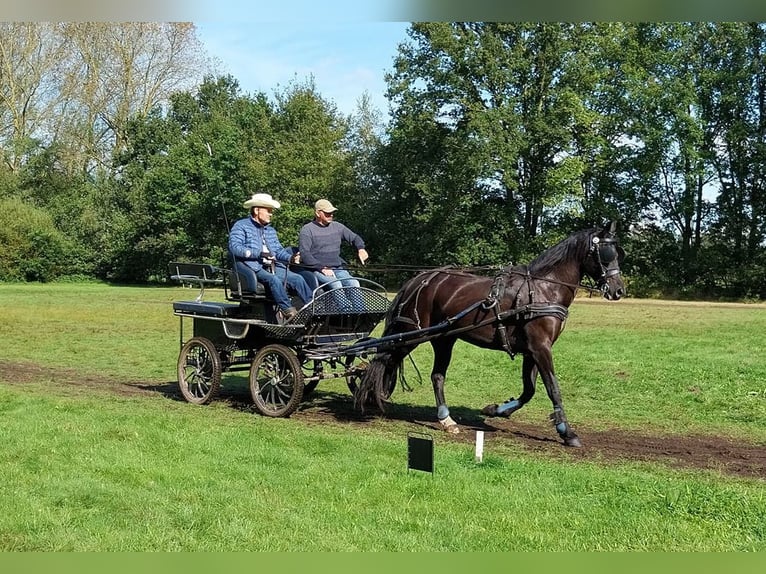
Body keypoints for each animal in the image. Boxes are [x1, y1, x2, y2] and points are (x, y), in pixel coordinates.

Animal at [356, 223, 628, 448]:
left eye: (618, 253)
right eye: (606, 254)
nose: (618, 290)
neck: (544, 288)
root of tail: (422, 279)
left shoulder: (531, 350)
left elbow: (529, 390)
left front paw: (497, 409)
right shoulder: (541, 348)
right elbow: (553, 388)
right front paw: (566, 432)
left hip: (444, 338)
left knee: (435, 375)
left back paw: (445, 419)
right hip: (412, 333)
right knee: (385, 359)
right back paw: (369, 396)